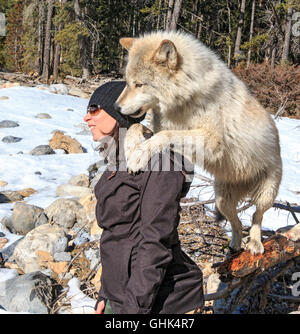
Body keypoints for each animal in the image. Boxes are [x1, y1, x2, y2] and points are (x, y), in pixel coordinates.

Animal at [115, 31, 282, 256]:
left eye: (139, 84)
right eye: (127, 82)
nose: (116, 107)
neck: (187, 97)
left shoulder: (212, 141)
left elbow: (165, 135)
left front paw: (137, 157)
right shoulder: (160, 128)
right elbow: (136, 128)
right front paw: (132, 150)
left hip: (266, 193)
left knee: (257, 216)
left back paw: (254, 243)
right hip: (222, 199)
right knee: (237, 223)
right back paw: (235, 245)